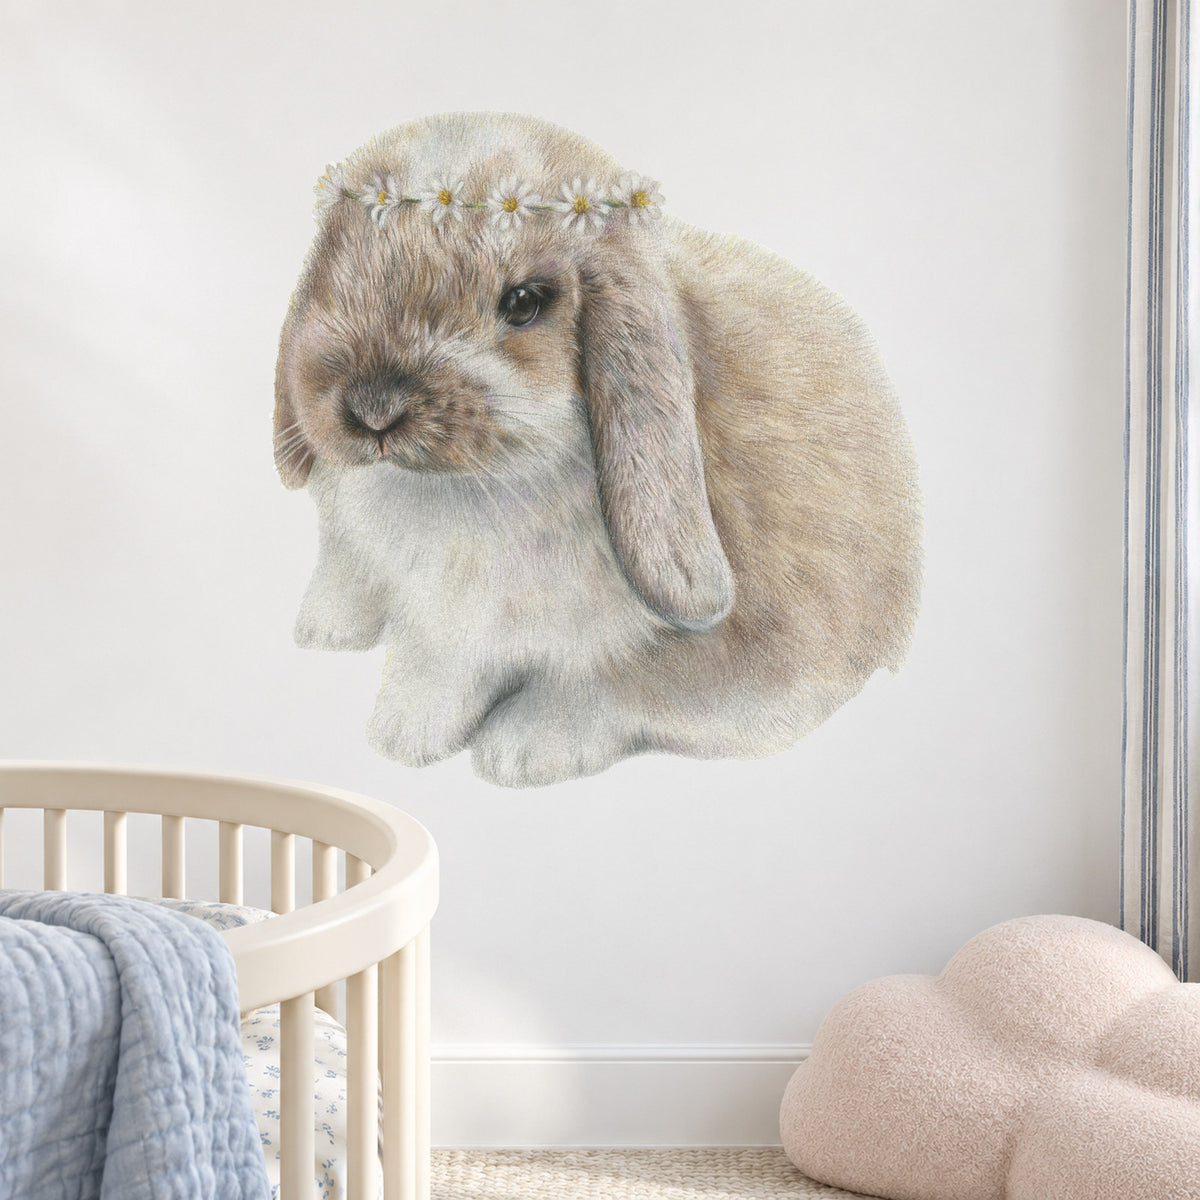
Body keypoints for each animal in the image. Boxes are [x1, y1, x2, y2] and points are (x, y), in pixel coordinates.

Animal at [274, 111, 922, 788]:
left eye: (524, 302)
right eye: (340, 274)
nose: (373, 410)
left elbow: (616, 683)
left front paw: (515, 748)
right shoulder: (446, 617)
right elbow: (437, 662)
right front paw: (404, 731)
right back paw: (325, 625)